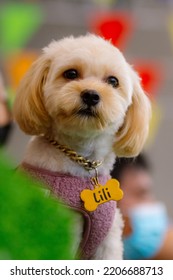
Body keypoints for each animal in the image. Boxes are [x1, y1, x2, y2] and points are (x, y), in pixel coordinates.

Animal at [13, 34, 151, 260]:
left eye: (113, 81)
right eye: (71, 73)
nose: (91, 95)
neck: (82, 159)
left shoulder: (108, 240)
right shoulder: (60, 232)